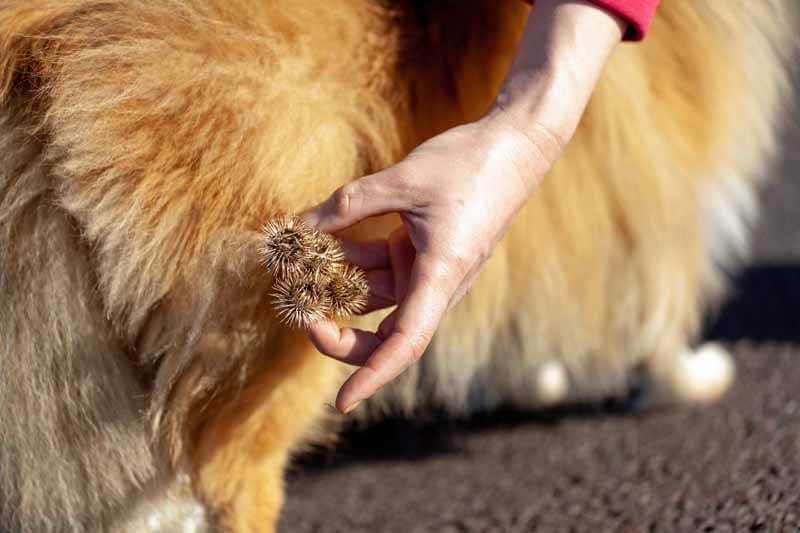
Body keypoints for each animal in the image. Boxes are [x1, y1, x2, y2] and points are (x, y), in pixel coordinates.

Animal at [0, 1, 792, 532]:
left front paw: (531, 377)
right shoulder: (664, 155)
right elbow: (664, 288)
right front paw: (687, 376)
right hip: (272, 368)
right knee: (222, 480)